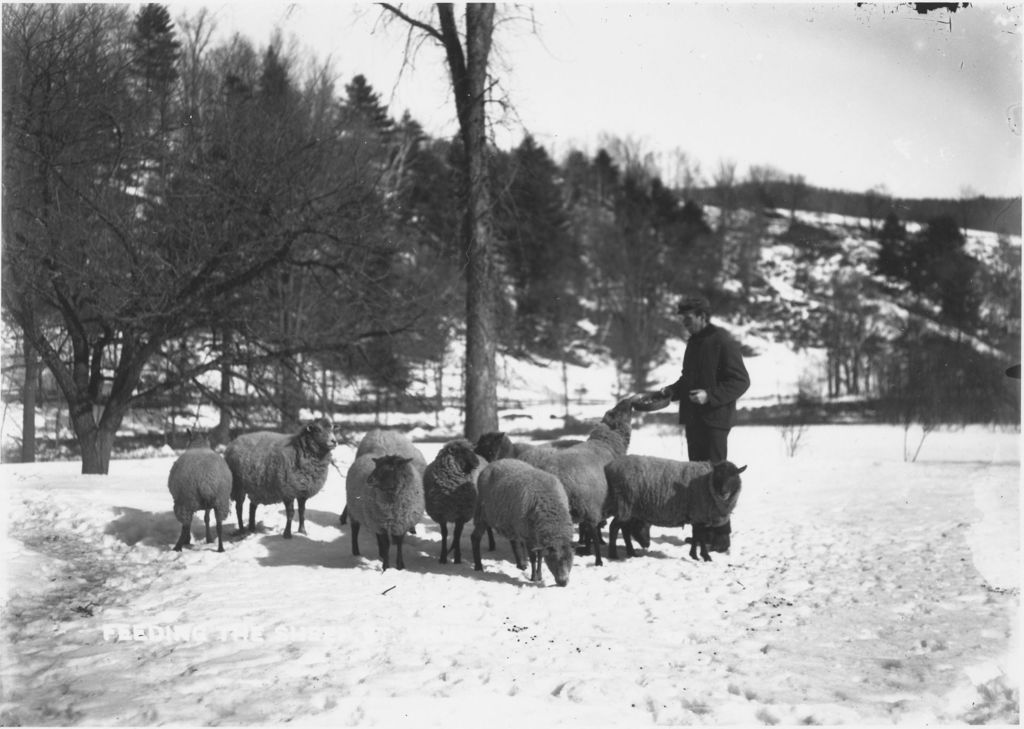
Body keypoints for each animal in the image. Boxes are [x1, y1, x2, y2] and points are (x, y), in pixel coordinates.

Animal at [344, 427, 423, 569]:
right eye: (376, 466)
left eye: (391, 468)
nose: (369, 480)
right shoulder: (381, 524)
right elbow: (386, 545)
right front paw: (386, 567)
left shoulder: (400, 523)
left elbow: (399, 544)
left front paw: (400, 565)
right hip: (355, 510)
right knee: (355, 530)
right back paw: (356, 552)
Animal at [516, 395, 634, 565]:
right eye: (616, 411)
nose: (629, 401)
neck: (606, 443)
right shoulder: (595, 506)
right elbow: (594, 530)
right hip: (586, 506)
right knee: (592, 531)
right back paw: (597, 559)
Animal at [602, 454, 749, 565]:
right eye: (718, 476)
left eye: (734, 476)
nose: (724, 493)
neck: (707, 483)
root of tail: (609, 467)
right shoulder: (699, 513)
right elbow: (700, 538)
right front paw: (705, 556)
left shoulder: (697, 516)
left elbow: (696, 536)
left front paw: (694, 555)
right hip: (625, 502)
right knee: (614, 527)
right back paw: (613, 554)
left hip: (630, 508)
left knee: (624, 529)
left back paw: (631, 552)